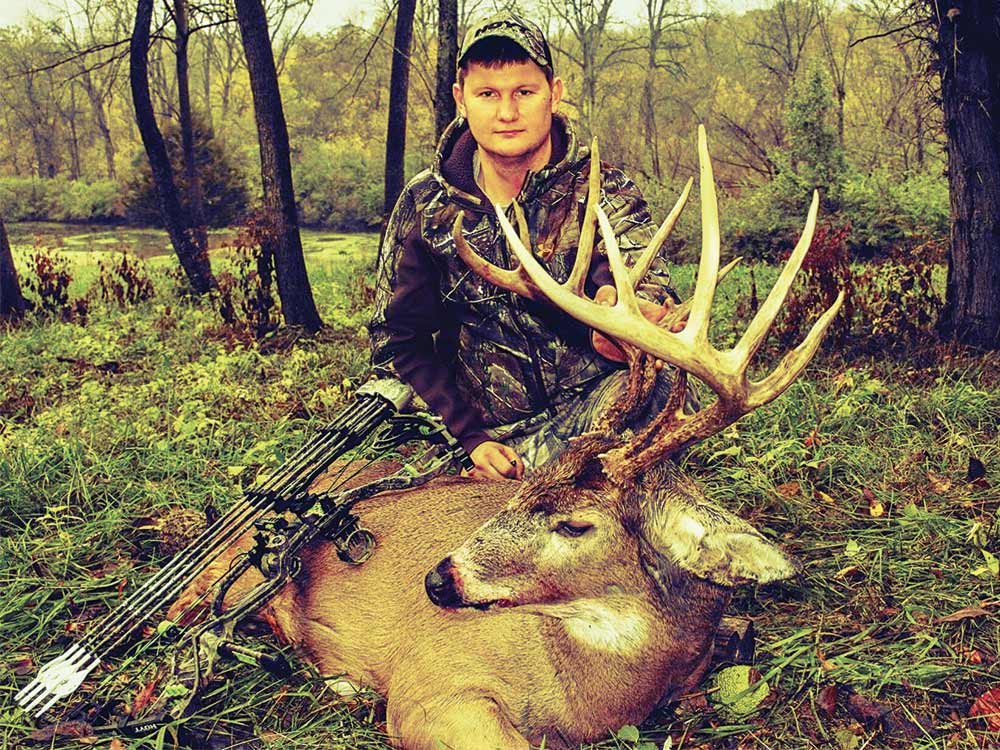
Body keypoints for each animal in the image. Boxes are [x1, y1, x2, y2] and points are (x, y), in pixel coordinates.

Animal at [168, 126, 843, 750]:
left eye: (574, 524)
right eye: (520, 492)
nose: (438, 579)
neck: (592, 694)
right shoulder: (429, 683)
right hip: (232, 574)